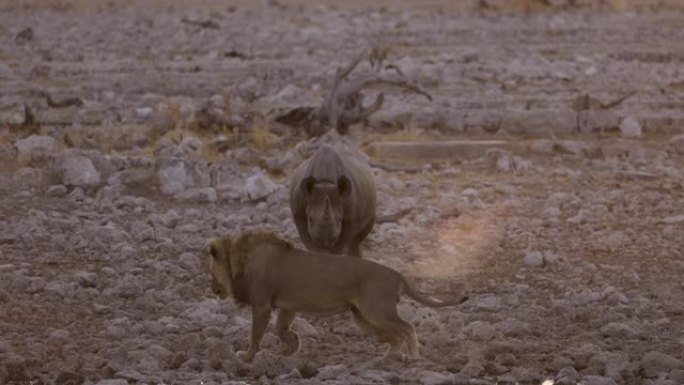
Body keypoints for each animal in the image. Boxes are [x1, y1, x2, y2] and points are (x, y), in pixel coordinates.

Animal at [207, 230, 464, 362]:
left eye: (210, 272)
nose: (212, 288)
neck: (240, 260)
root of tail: (394, 272)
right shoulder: (288, 306)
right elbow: (280, 329)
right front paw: (292, 346)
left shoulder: (261, 305)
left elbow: (256, 333)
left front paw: (246, 356)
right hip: (363, 317)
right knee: (395, 336)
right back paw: (386, 358)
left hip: (376, 311)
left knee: (407, 327)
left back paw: (412, 357)